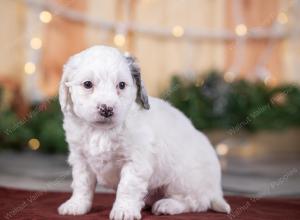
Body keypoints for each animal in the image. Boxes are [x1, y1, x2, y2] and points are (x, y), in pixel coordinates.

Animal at [57, 45, 230, 219]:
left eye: (121, 85)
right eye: (87, 84)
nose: (107, 109)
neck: (102, 131)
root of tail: (216, 190)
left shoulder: (136, 161)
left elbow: (127, 187)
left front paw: (124, 210)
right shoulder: (81, 159)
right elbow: (82, 184)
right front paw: (76, 205)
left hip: (184, 179)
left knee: (195, 202)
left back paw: (167, 205)